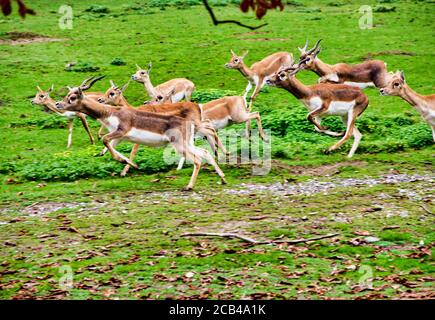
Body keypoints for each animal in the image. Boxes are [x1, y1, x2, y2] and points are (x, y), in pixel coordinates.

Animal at [55, 75, 227, 190]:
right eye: (66, 95)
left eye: (72, 97)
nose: (58, 104)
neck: (110, 112)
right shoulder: (119, 137)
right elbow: (110, 148)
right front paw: (131, 165)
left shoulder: (121, 131)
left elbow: (106, 141)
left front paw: (126, 165)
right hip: (188, 142)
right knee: (205, 152)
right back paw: (223, 178)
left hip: (180, 145)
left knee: (197, 159)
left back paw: (189, 186)